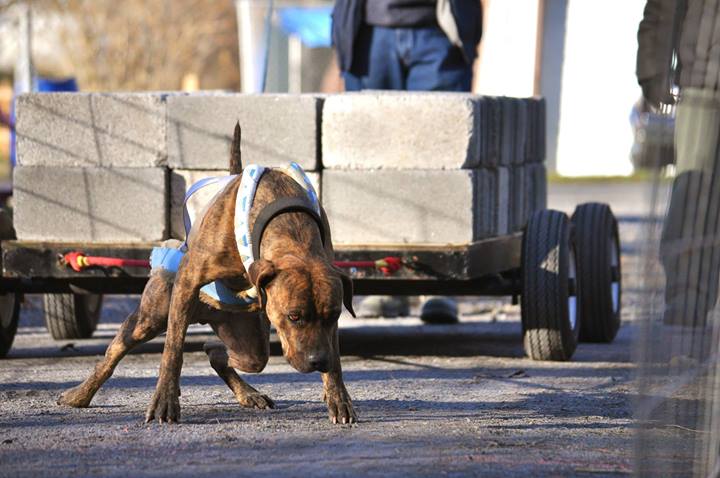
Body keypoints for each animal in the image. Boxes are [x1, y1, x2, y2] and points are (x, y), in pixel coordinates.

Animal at [58, 124, 358, 426]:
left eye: (334, 315)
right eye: (294, 316)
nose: (318, 361)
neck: (289, 225)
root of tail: (208, 313)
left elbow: (336, 356)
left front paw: (337, 397)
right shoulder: (188, 280)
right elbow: (172, 351)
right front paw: (165, 400)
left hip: (248, 338)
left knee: (227, 355)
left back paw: (246, 389)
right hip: (152, 316)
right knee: (115, 351)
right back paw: (79, 394)